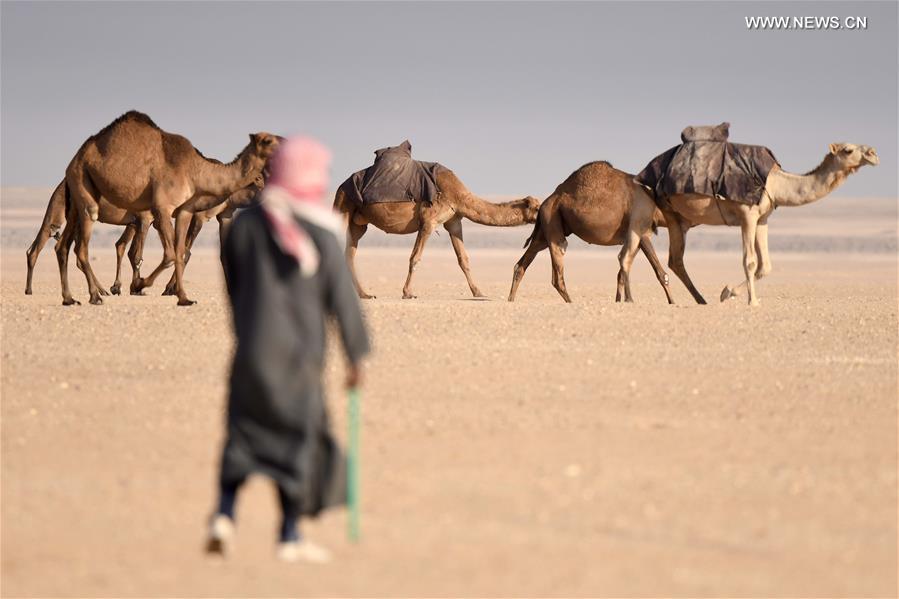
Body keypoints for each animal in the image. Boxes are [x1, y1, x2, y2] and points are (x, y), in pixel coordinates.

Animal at [59, 112, 278, 308]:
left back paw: (73, 297)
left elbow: (188, 252)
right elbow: (174, 254)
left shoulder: (210, 214)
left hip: (78, 201)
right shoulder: (172, 210)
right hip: (84, 184)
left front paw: (184, 297)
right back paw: (98, 295)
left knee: (65, 246)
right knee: (87, 243)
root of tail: (75, 159)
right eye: (268, 141)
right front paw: (144, 285)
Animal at [334, 169, 536, 300]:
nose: (541, 214)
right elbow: (415, 257)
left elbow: (463, 259)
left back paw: (364, 295)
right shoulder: (428, 222)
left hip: (358, 224)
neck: (460, 196)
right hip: (343, 207)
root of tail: (341, 186)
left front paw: (478, 292)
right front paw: (408, 293)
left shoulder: (454, 222)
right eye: (536, 207)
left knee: (349, 254)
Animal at [510, 161, 672, 304]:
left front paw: (618, 301)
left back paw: (510, 300)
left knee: (521, 265)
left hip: (544, 232)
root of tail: (546, 201)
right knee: (557, 274)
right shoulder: (642, 233)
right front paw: (672, 302)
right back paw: (571, 302)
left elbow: (621, 272)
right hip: (552, 221)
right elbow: (661, 273)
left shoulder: (635, 237)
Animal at [624, 144, 884, 308]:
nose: (873, 154)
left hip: (676, 217)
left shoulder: (762, 218)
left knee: (675, 260)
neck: (776, 182)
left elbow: (765, 265)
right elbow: (749, 261)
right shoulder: (747, 215)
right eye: (848, 149)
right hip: (650, 209)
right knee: (635, 254)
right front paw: (752, 301)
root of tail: (641, 173)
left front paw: (727, 292)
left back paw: (701, 299)